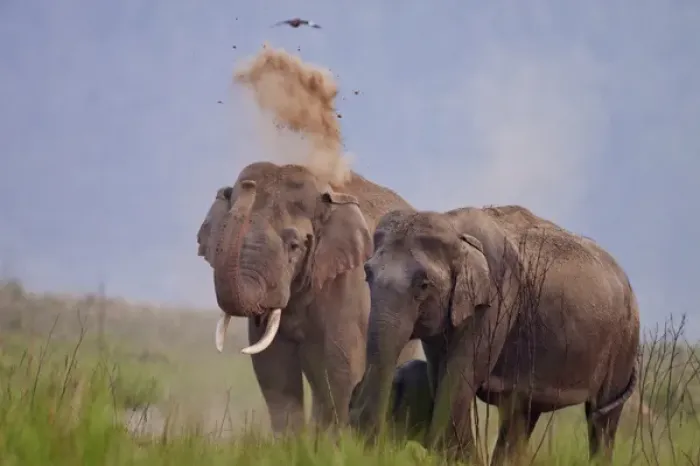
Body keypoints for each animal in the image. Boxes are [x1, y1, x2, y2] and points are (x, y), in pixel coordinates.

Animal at [349, 204, 640, 465]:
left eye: (423, 285)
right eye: (367, 274)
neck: (455, 228)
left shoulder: (496, 299)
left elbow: (458, 381)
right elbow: (441, 376)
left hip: (624, 340)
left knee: (601, 419)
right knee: (522, 415)